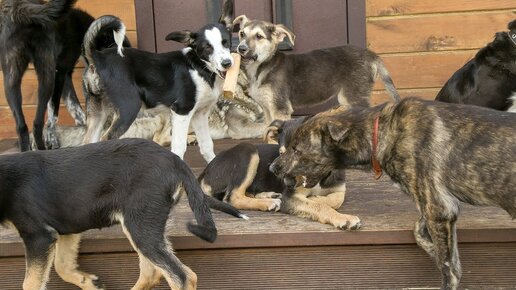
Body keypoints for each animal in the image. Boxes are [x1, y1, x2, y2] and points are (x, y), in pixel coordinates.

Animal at [0, 0, 93, 152]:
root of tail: (19, 7)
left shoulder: (65, 75)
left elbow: (74, 107)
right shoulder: (59, 72)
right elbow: (54, 111)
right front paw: (53, 138)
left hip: (11, 80)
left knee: (22, 126)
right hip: (47, 76)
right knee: (37, 123)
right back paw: (42, 149)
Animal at [0, 138, 246, 290]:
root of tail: (176, 160)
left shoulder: (38, 236)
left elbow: (31, 283)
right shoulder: (66, 229)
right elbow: (62, 266)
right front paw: (89, 282)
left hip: (139, 225)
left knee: (183, 277)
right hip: (145, 224)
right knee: (152, 273)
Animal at [81, 0, 235, 163]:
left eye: (226, 42)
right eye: (207, 48)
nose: (227, 63)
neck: (200, 67)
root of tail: (98, 56)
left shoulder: (200, 115)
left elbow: (207, 145)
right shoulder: (181, 111)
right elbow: (179, 148)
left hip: (97, 112)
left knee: (87, 143)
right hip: (128, 109)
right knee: (106, 139)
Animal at [198, 112, 358, 230]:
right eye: (281, 153)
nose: (288, 182)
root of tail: (206, 170)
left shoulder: (339, 188)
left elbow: (337, 199)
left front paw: (317, 198)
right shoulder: (291, 197)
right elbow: (319, 206)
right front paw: (344, 218)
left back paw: (269, 196)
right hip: (248, 150)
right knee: (233, 196)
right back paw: (268, 202)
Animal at [270, 98, 516, 290]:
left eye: (297, 150)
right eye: (287, 148)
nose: (273, 168)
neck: (383, 132)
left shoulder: (439, 209)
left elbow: (449, 269)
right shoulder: (436, 206)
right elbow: (420, 232)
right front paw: (432, 250)